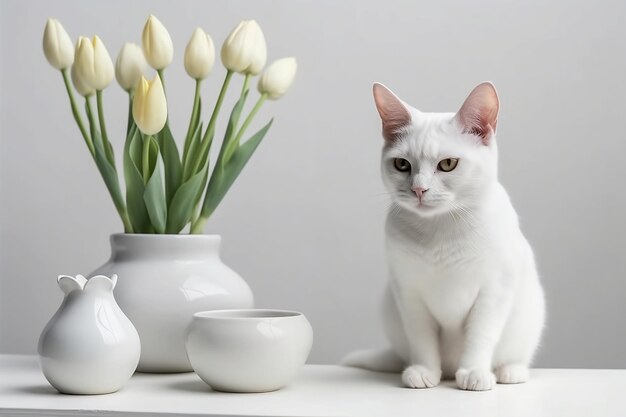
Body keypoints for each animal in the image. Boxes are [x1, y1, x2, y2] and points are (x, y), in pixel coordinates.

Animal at [344, 81, 544, 390]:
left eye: (448, 163)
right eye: (402, 164)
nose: (418, 189)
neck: (441, 229)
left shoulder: (494, 289)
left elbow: (481, 335)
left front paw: (474, 372)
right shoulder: (408, 293)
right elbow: (421, 338)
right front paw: (424, 371)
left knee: (515, 355)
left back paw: (510, 371)